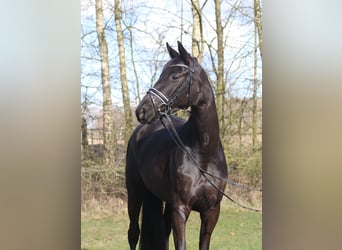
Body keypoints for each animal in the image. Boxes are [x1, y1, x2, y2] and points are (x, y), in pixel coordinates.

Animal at [125, 41, 227, 250]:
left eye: (175, 76)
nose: (142, 110)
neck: (203, 153)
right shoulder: (180, 209)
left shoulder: (211, 211)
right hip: (134, 191)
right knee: (133, 233)